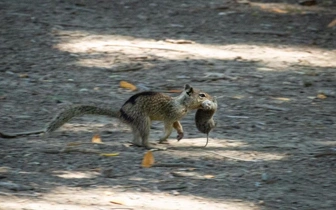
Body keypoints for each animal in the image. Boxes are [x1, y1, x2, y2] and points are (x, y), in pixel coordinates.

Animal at [0, 83, 214, 149]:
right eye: (202, 95)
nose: (212, 98)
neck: (182, 103)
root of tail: (121, 113)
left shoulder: (176, 117)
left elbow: (178, 125)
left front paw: (180, 135)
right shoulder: (170, 116)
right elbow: (169, 126)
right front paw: (164, 138)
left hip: (137, 123)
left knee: (135, 138)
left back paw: (137, 143)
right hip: (143, 121)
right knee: (143, 139)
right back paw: (153, 145)